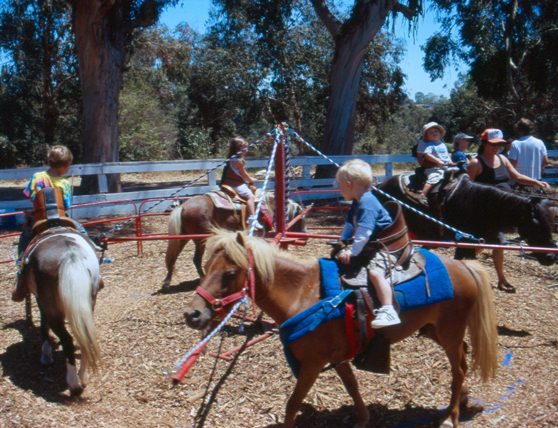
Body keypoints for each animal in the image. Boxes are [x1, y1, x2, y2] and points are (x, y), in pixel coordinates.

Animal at [17, 227, 104, 398]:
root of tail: (70, 254)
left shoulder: (41, 302)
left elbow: (44, 326)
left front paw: (46, 356)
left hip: (53, 311)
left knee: (67, 340)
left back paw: (74, 384)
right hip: (88, 303)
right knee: (84, 337)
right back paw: (83, 377)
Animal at [162, 193, 308, 290]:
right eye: (302, 218)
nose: (305, 236)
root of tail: (182, 206)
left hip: (183, 238)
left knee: (173, 257)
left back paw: (167, 283)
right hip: (200, 239)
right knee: (196, 259)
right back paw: (202, 278)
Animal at [184, 231, 498, 428]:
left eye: (229, 274)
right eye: (205, 266)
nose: (192, 314)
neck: (303, 294)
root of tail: (464, 266)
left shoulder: (312, 363)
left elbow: (293, 403)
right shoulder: (337, 357)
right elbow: (351, 385)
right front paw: (363, 418)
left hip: (449, 332)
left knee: (458, 369)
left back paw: (450, 416)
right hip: (434, 330)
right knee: (463, 361)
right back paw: (463, 399)